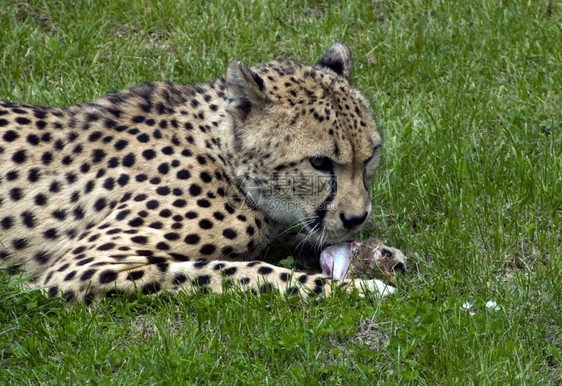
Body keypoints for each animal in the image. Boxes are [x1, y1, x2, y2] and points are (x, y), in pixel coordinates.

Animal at [0, 41, 404, 302]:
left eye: (371, 156)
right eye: (319, 162)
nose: (356, 218)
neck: (221, 155)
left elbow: (287, 241)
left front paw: (381, 253)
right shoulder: (80, 268)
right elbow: (242, 270)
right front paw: (358, 289)